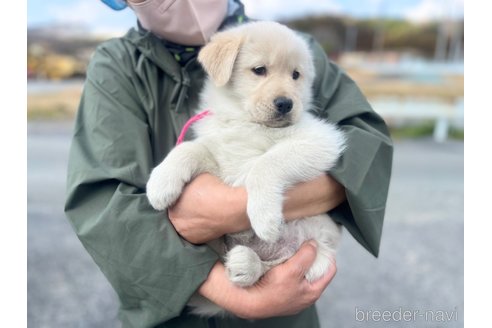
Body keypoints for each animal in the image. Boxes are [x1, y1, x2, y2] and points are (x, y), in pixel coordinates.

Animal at [146, 21, 346, 316]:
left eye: (296, 75)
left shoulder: (320, 140)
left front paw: (264, 217)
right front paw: (160, 184)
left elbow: (266, 163)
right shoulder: (219, 154)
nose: (286, 103)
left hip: (317, 253)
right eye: (259, 70)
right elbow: (189, 149)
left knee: (275, 268)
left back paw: (247, 263)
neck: (246, 121)